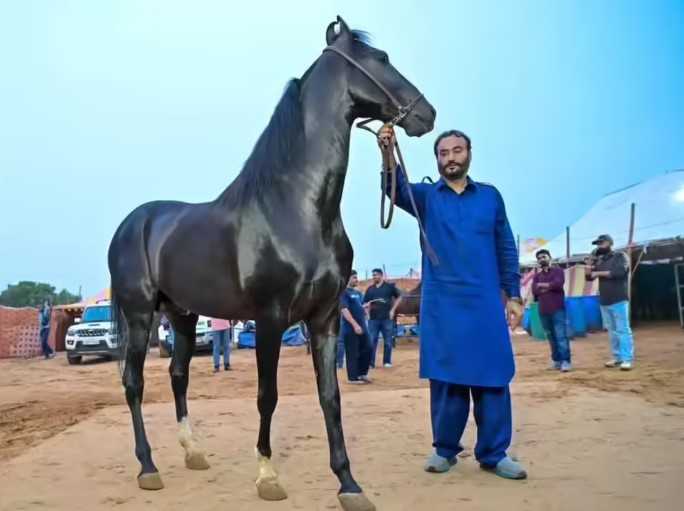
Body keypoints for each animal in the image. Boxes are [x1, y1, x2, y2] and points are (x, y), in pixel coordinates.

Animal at [107, 16, 435, 511]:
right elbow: (268, 395)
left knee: (178, 376)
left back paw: (193, 452)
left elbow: (330, 397)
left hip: (181, 316)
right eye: (380, 59)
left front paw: (349, 483)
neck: (297, 209)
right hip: (141, 315)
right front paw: (267, 475)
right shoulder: (270, 319)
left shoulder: (325, 319)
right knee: (134, 383)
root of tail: (131, 223)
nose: (426, 114)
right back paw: (148, 467)